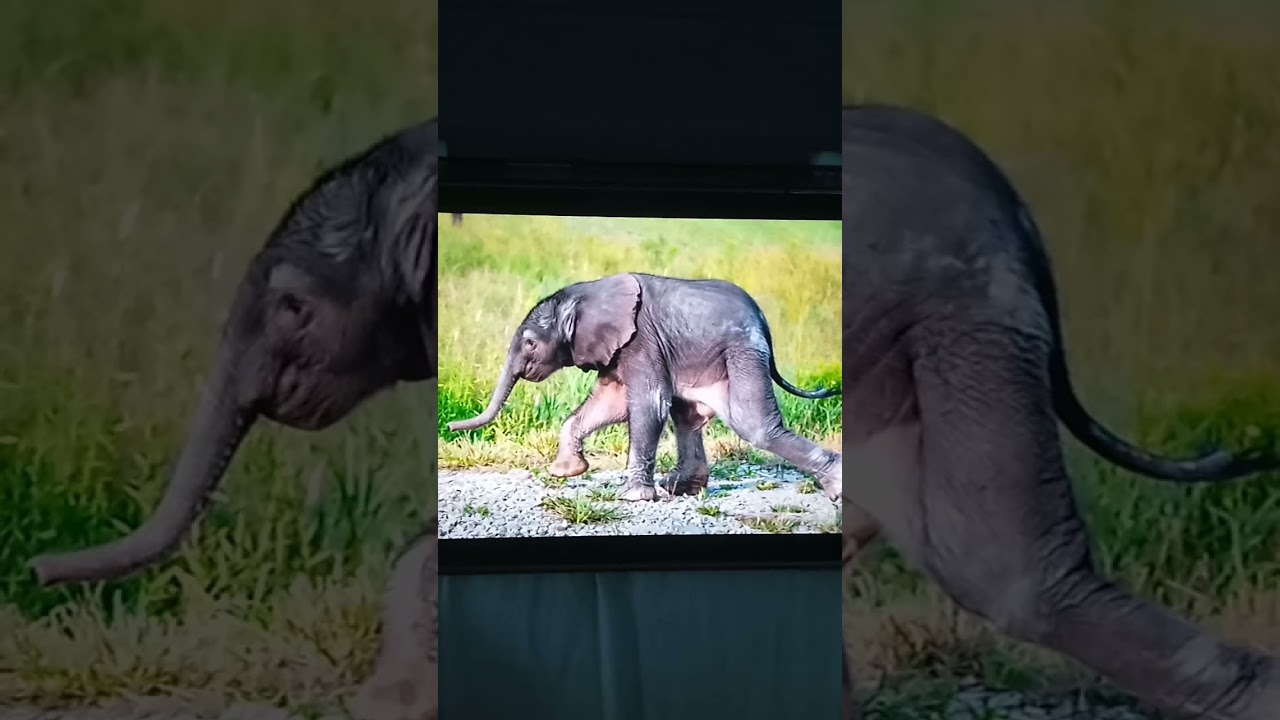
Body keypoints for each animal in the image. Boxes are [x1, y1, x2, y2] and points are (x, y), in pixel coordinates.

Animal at [446, 273, 843, 502]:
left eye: (529, 343)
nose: (450, 426)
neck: (583, 294)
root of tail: (764, 322)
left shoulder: (641, 339)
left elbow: (648, 403)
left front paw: (633, 498)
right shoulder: (617, 348)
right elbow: (611, 402)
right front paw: (565, 472)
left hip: (742, 350)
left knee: (752, 424)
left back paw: (837, 489)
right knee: (689, 417)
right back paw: (679, 488)